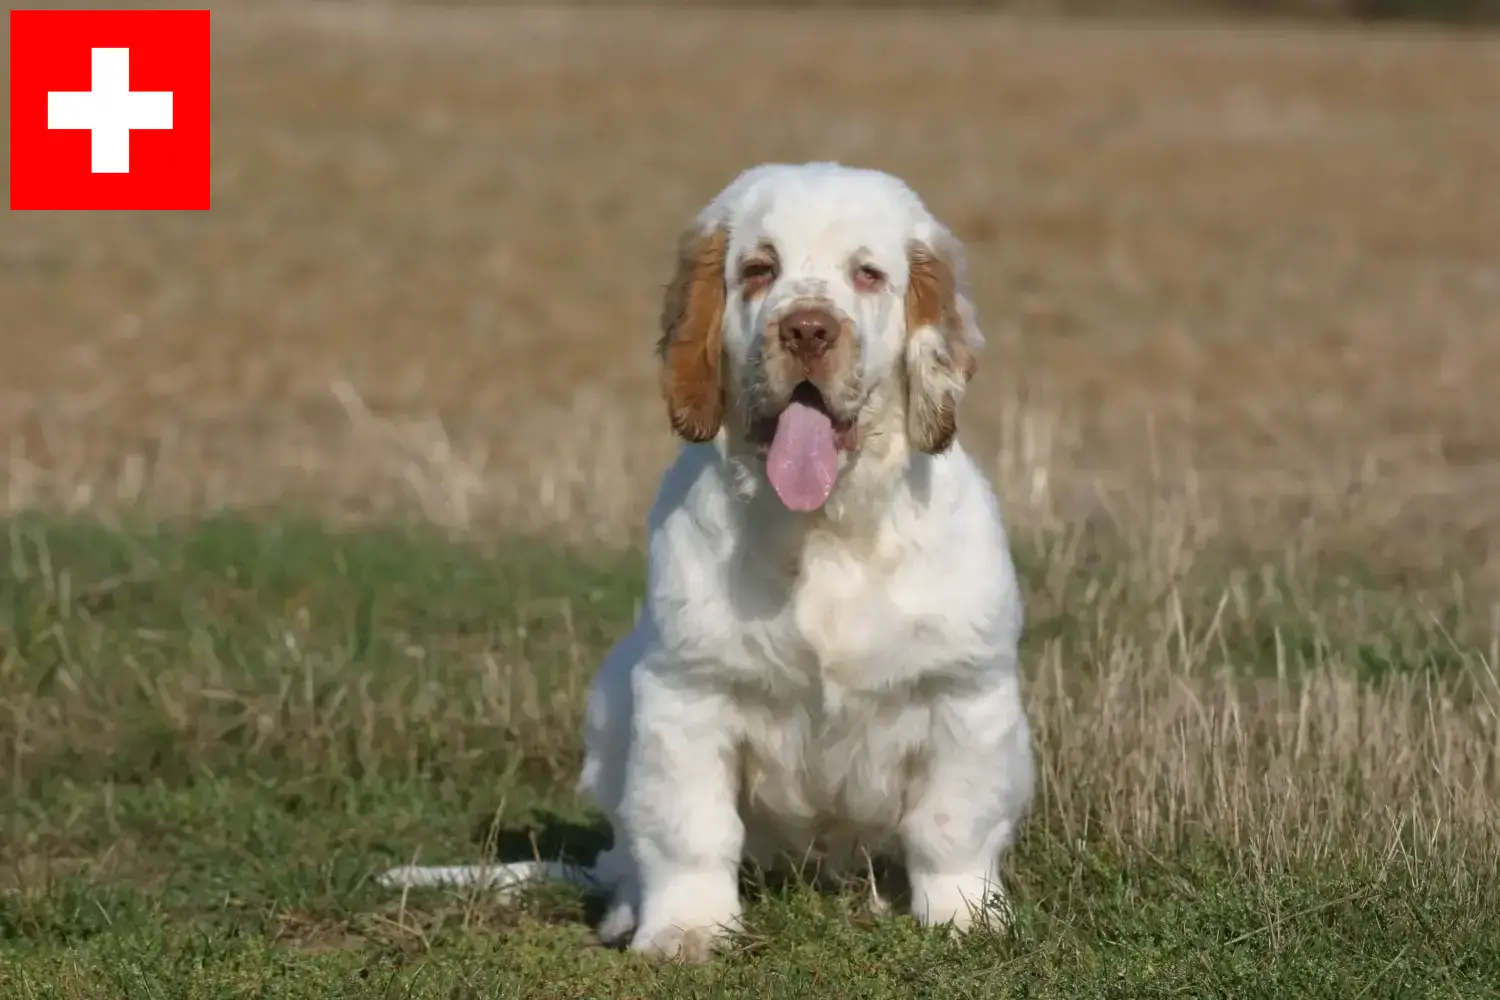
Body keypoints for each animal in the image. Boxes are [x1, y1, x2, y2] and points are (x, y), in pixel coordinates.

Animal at [378, 162, 1032, 959]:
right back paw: (628, 909)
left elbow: (951, 823)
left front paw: (966, 916)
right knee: (630, 850)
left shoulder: (967, 691)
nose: (807, 328)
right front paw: (686, 930)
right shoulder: (686, 692)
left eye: (868, 274)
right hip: (612, 700)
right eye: (759, 270)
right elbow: (690, 827)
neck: (824, 530)